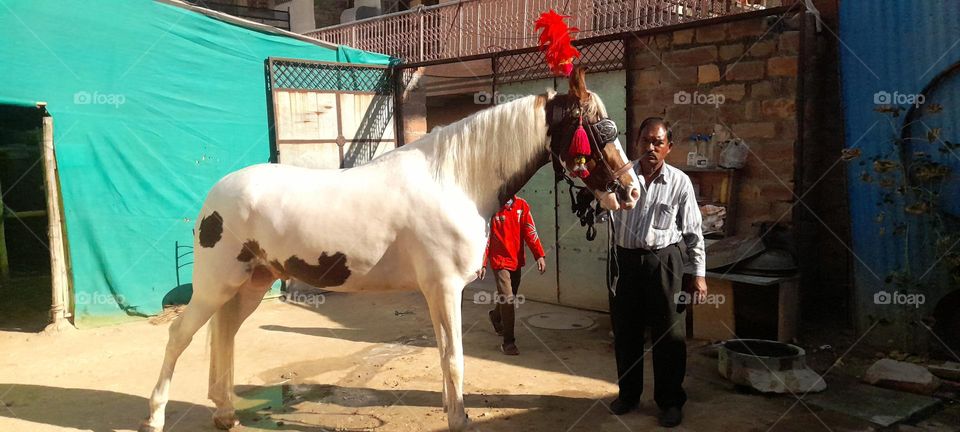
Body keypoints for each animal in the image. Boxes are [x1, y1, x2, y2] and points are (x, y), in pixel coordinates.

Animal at [140, 67, 640, 432]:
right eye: (600, 129)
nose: (631, 192)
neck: (454, 179)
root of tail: (216, 194)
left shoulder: (439, 291)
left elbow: (445, 355)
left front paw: (454, 411)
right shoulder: (444, 288)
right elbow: (454, 358)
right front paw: (460, 420)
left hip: (250, 284)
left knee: (225, 333)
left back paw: (225, 412)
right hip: (216, 284)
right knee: (180, 336)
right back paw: (155, 417)